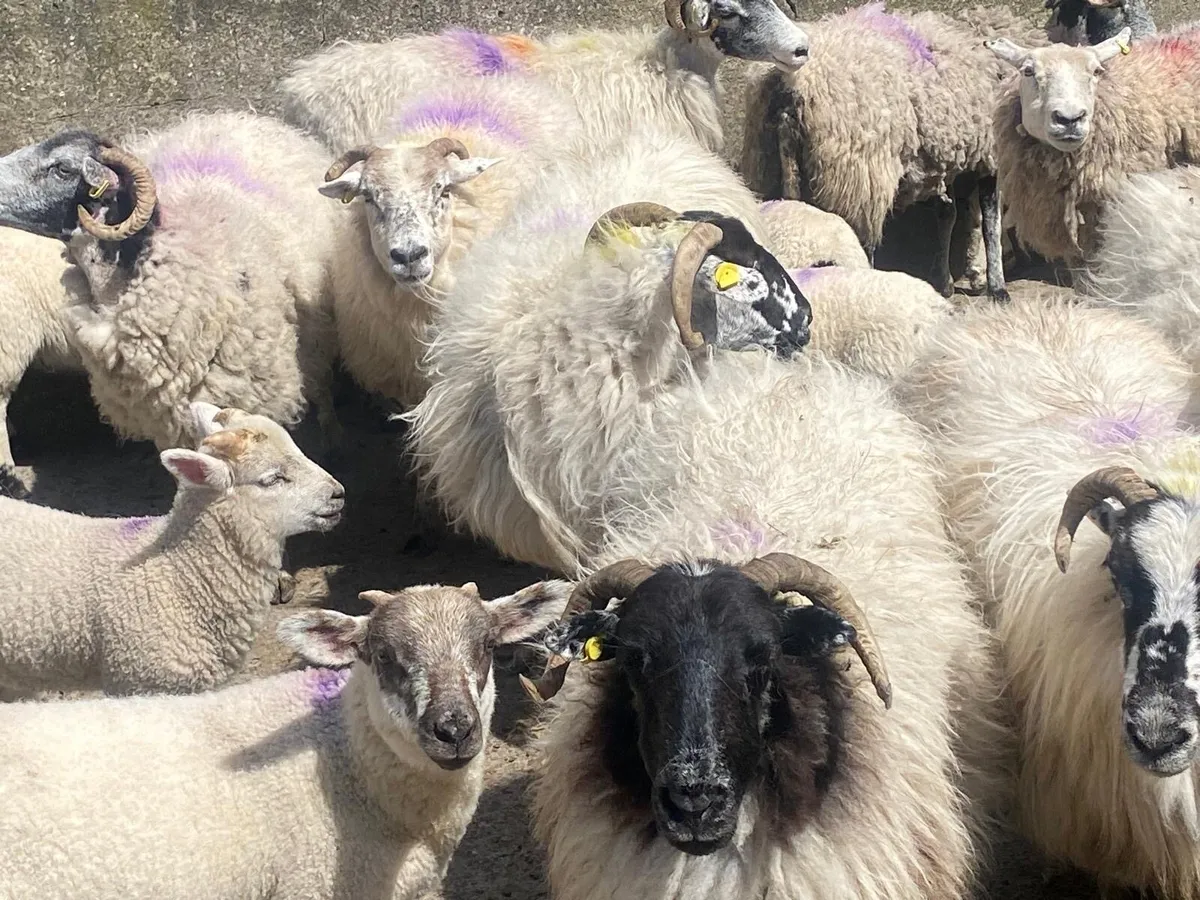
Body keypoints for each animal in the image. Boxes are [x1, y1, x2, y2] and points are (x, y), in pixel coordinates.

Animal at [741, 3, 1049, 303]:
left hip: (774, 167)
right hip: (856, 181)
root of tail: (793, 90)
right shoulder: (989, 156)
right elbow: (989, 223)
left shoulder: (951, 156)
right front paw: (996, 286)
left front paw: (950, 280)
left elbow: (952, 214)